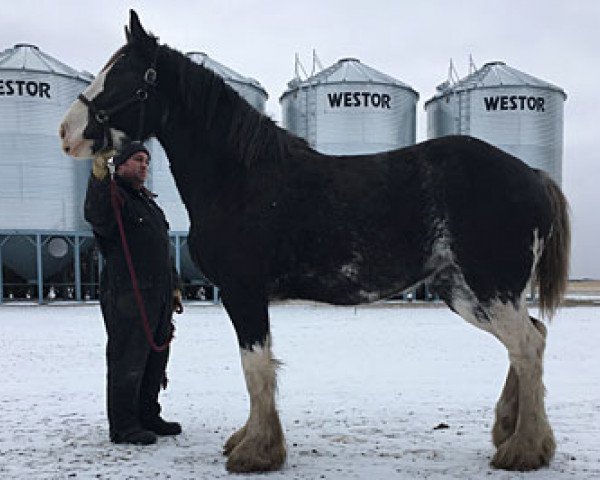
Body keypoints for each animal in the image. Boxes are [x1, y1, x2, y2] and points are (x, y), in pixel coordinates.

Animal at [58, 10, 568, 472]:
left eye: (122, 76)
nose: (67, 133)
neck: (241, 179)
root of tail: (531, 175)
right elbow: (259, 368)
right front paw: (249, 440)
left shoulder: (243, 292)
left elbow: (256, 367)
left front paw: (256, 452)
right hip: (464, 292)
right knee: (530, 340)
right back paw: (512, 433)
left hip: (490, 288)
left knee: (527, 346)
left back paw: (524, 450)